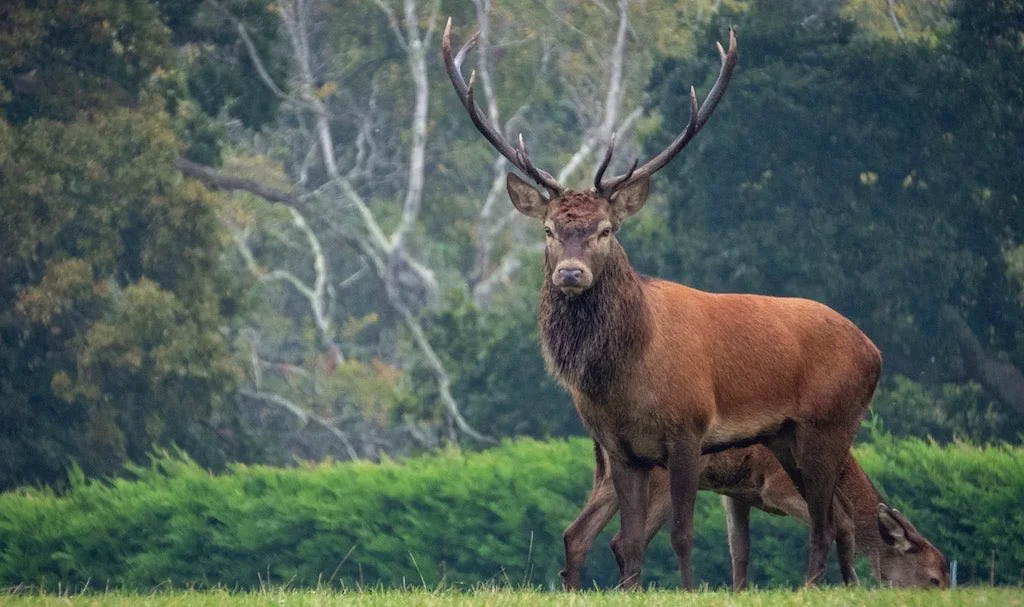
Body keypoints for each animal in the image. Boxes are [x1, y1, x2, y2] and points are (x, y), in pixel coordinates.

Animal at [444, 18, 884, 585]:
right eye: (548, 230)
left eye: (606, 229)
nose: (571, 273)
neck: (626, 377)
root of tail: (874, 351)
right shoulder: (620, 448)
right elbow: (629, 542)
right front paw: (629, 589)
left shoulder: (689, 431)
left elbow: (682, 535)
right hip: (787, 437)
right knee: (834, 517)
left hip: (831, 423)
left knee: (827, 522)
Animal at [565, 440, 946, 585]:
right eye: (933, 579)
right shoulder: (777, 486)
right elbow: (843, 519)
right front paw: (847, 585)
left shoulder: (736, 493)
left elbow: (740, 549)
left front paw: (739, 592)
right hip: (658, 479)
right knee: (623, 540)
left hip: (607, 477)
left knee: (576, 533)